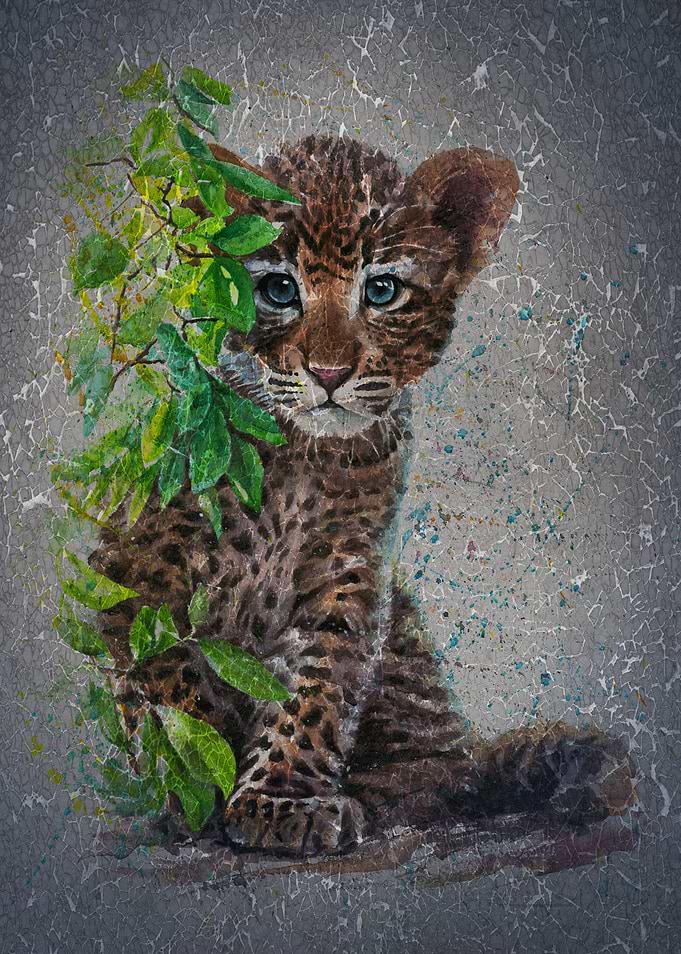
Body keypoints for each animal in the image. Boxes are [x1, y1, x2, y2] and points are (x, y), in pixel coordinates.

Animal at [92, 135, 635, 858]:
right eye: (277, 288)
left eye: (381, 290)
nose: (328, 373)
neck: (303, 457)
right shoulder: (133, 565)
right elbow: (168, 684)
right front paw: (201, 778)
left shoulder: (346, 571)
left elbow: (316, 689)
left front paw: (280, 800)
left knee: (437, 779)